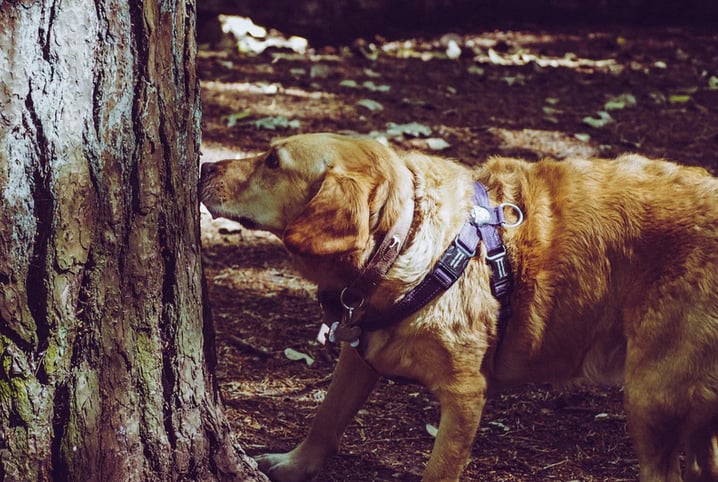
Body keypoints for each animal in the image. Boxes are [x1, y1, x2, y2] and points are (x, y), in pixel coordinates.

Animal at [200, 133, 718, 482]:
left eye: (272, 161)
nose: (203, 167)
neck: (403, 239)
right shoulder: (358, 356)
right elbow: (326, 417)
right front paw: (295, 464)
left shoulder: (465, 396)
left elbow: (439, 469)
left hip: (651, 394)